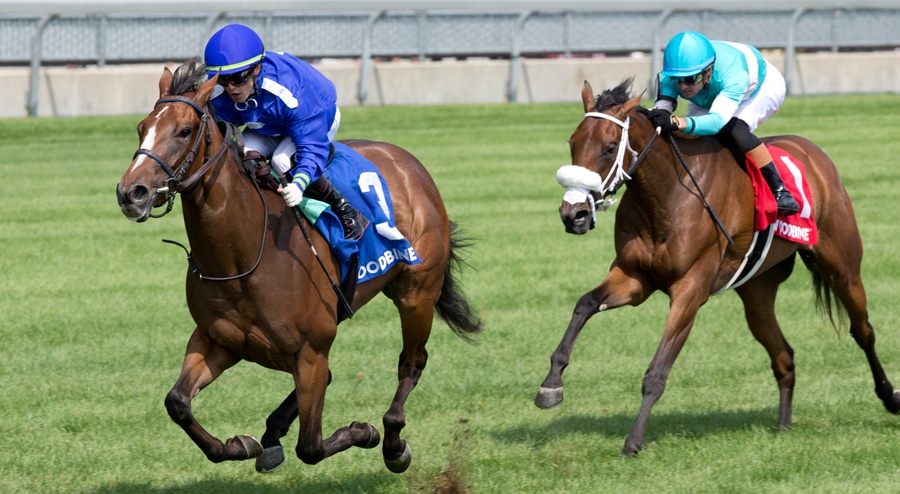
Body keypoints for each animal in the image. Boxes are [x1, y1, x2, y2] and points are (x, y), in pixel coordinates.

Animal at [115, 59, 482, 473]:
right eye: (142, 127)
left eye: (184, 130)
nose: (131, 192)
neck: (242, 256)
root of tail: (410, 164)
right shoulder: (217, 340)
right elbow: (177, 403)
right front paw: (240, 445)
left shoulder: (311, 352)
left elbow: (311, 446)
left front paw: (363, 432)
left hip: (416, 292)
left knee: (412, 362)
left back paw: (393, 443)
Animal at [534, 78, 900, 456]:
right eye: (572, 143)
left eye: (609, 148)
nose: (574, 214)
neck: (665, 197)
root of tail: (813, 153)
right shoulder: (634, 279)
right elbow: (585, 304)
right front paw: (551, 385)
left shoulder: (690, 291)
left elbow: (656, 372)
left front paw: (633, 442)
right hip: (757, 291)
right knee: (783, 356)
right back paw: (783, 427)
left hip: (842, 265)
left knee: (863, 330)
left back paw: (890, 397)